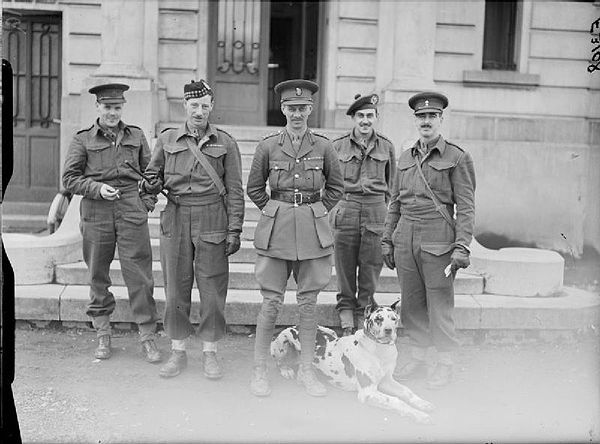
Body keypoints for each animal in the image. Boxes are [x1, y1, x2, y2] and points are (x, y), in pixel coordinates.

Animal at [270, 302, 434, 424]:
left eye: (394, 319)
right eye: (378, 318)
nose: (388, 330)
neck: (379, 351)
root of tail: (294, 325)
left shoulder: (387, 380)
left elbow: (407, 392)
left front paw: (422, 404)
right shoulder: (367, 392)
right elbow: (396, 401)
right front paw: (419, 415)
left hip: (330, 331)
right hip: (282, 343)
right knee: (279, 362)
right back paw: (287, 370)